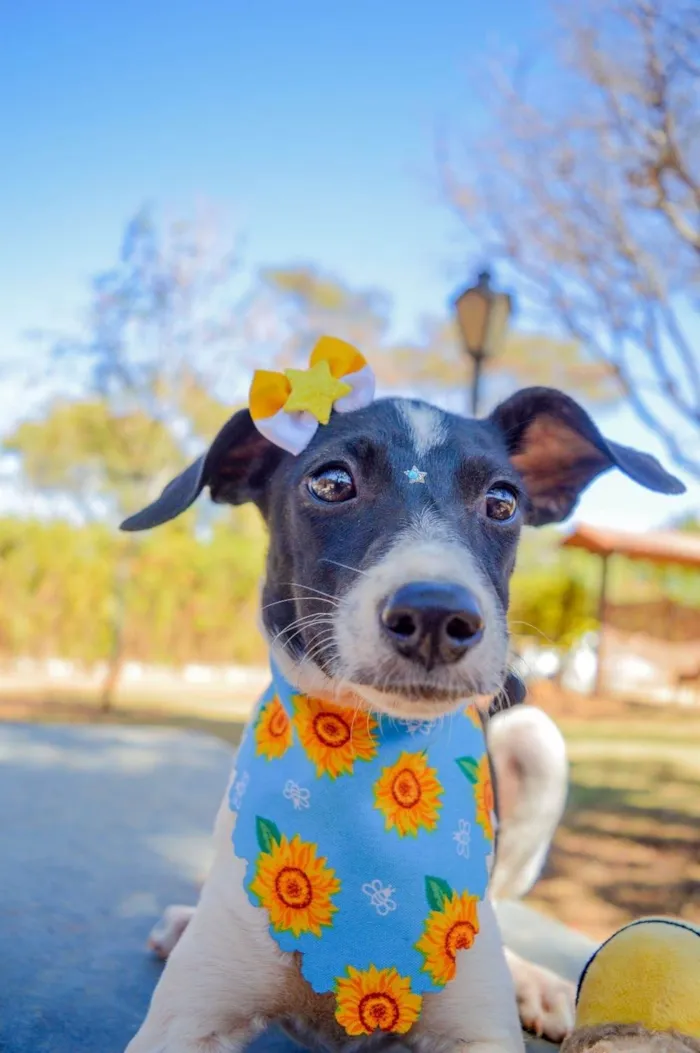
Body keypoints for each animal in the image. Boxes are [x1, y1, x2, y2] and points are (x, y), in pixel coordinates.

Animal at [118, 387, 682, 1053]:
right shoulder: (186, 1023)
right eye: (332, 482)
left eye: (503, 500)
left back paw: (532, 981)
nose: (437, 613)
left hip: (536, 741)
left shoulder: (477, 1028)